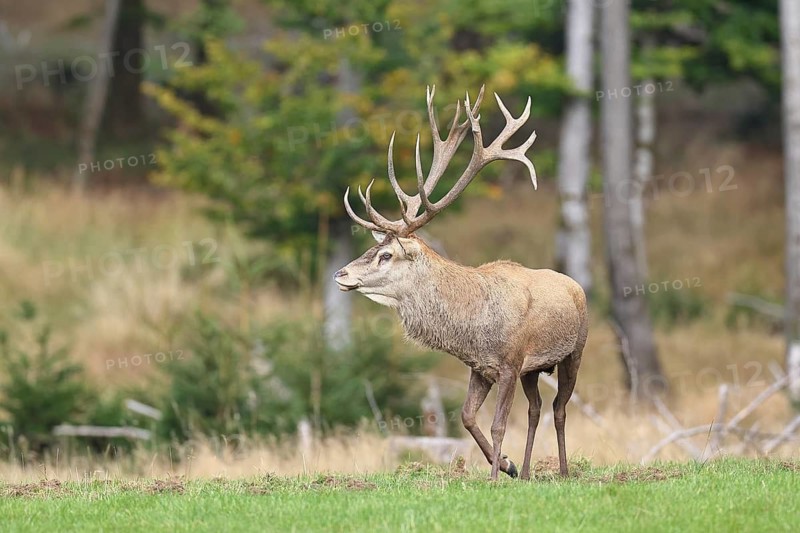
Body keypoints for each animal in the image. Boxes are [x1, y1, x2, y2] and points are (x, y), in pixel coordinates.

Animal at [333, 86, 588, 480]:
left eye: (386, 255)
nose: (341, 274)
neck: (472, 326)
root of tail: (576, 286)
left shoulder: (510, 361)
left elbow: (499, 424)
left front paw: (495, 476)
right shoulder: (480, 367)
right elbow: (467, 417)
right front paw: (507, 465)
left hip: (574, 350)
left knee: (560, 407)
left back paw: (561, 471)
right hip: (535, 370)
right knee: (536, 409)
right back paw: (527, 472)